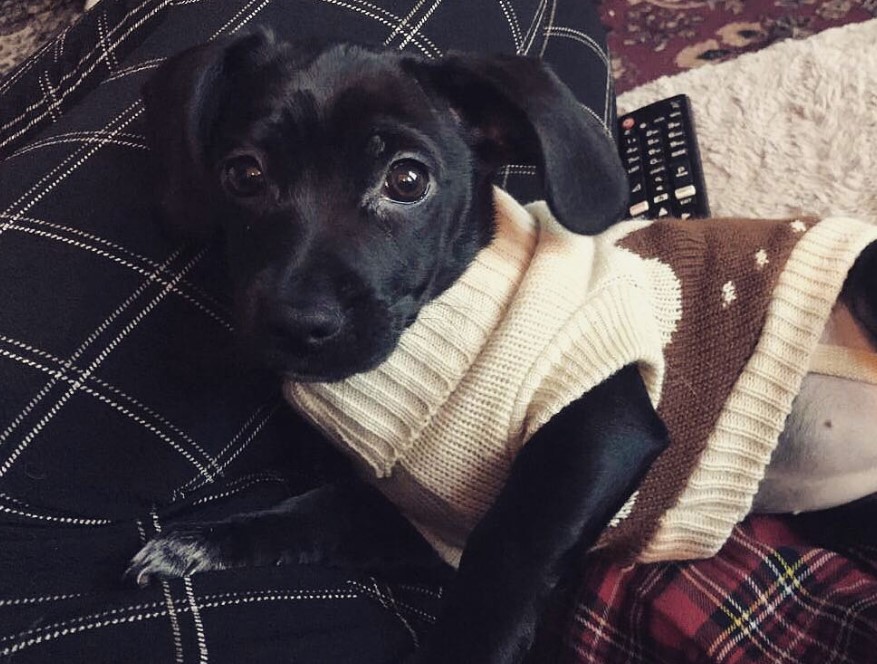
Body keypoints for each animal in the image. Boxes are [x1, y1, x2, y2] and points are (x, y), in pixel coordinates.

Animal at [128, 28, 664, 660]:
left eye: (406, 182)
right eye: (243, 175)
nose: (297, 325)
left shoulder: (603, 420)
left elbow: (506, 552)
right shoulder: (419, 529)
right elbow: (318, 511)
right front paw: (210, 540)